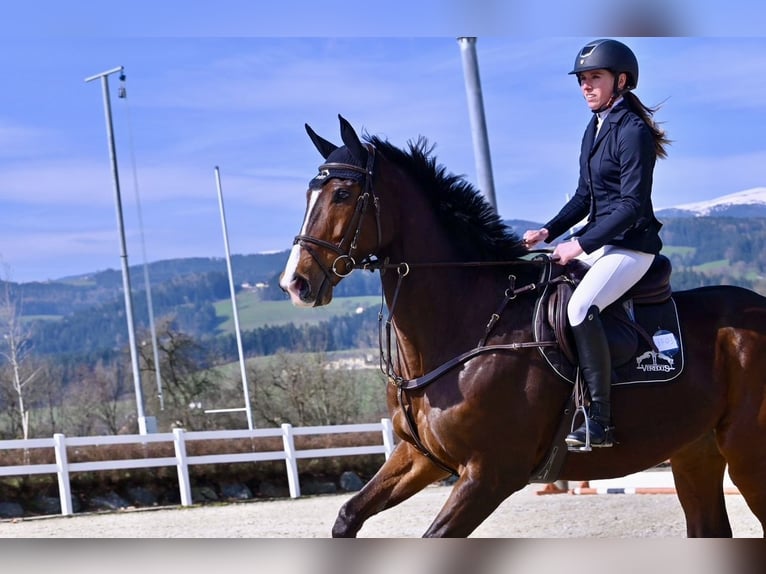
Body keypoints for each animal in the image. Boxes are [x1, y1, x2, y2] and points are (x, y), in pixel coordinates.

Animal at [280, 115, 766, 536]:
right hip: (694, 450)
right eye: (307, 195)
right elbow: (347, 515)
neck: (468, 325)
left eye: (343, 195)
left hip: (747, 454)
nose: (295, 284)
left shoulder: (490, 474)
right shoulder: (421, 457)